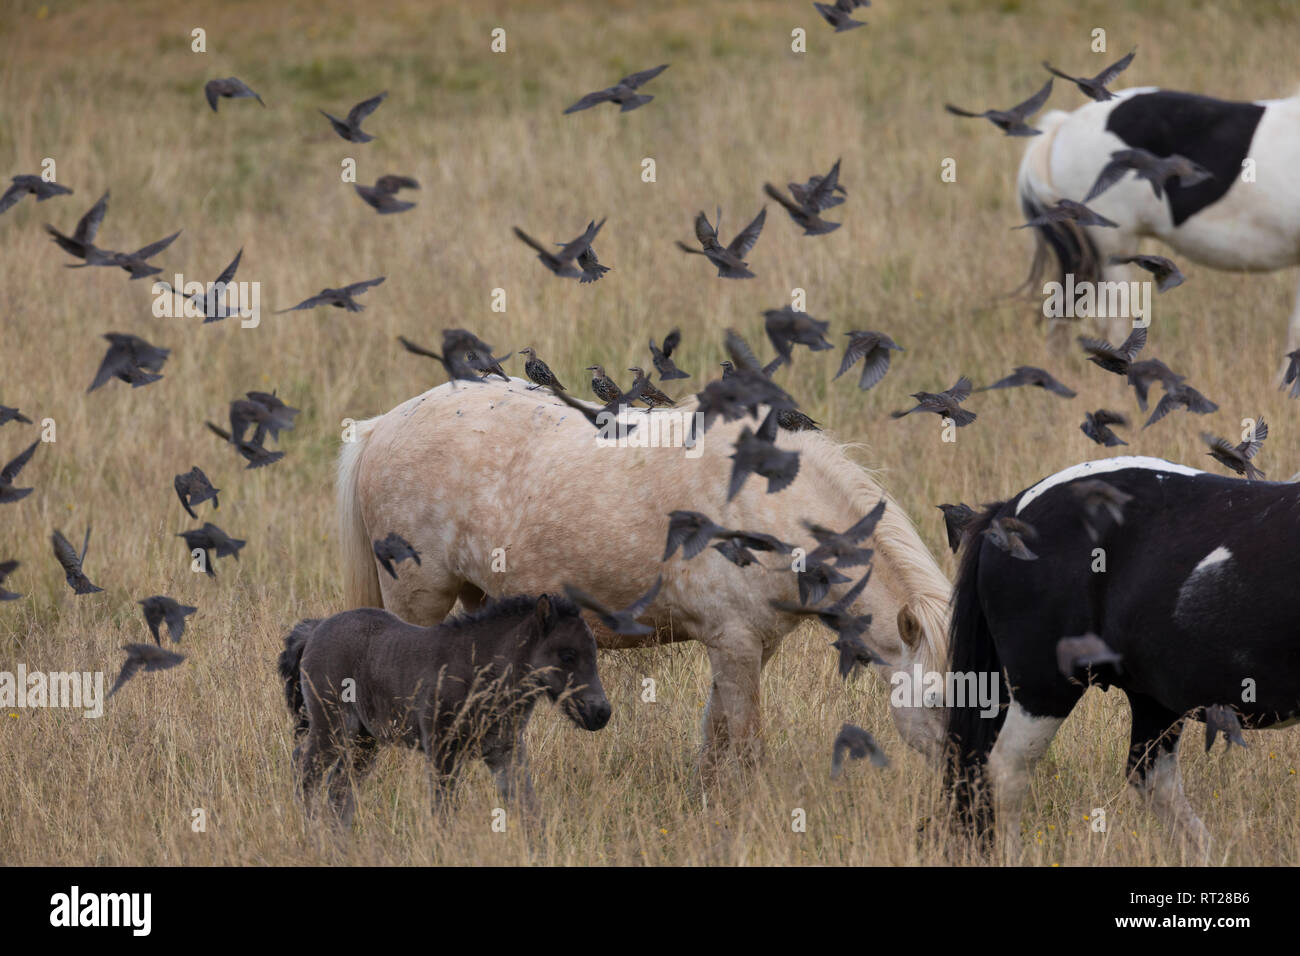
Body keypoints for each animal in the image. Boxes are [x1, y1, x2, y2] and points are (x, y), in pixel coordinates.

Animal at [279, 590, 608, 822]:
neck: (481, 670)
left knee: (339, 790)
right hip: (331, 727)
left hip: (364, 741)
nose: (601, 713)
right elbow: (444, 813)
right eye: (567, 655)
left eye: (593, 654)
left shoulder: (505, 751)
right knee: (304, 770)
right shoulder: (442, 749)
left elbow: (529, 808)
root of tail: (316, 628)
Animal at [335, 377, 951, 764]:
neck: (765, 506)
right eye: (939, 700)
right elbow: (746, 747)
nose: (967, 792)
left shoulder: (750, 646)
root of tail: (380, 427)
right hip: (417, 603)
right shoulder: (735, 645)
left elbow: (716, 739)